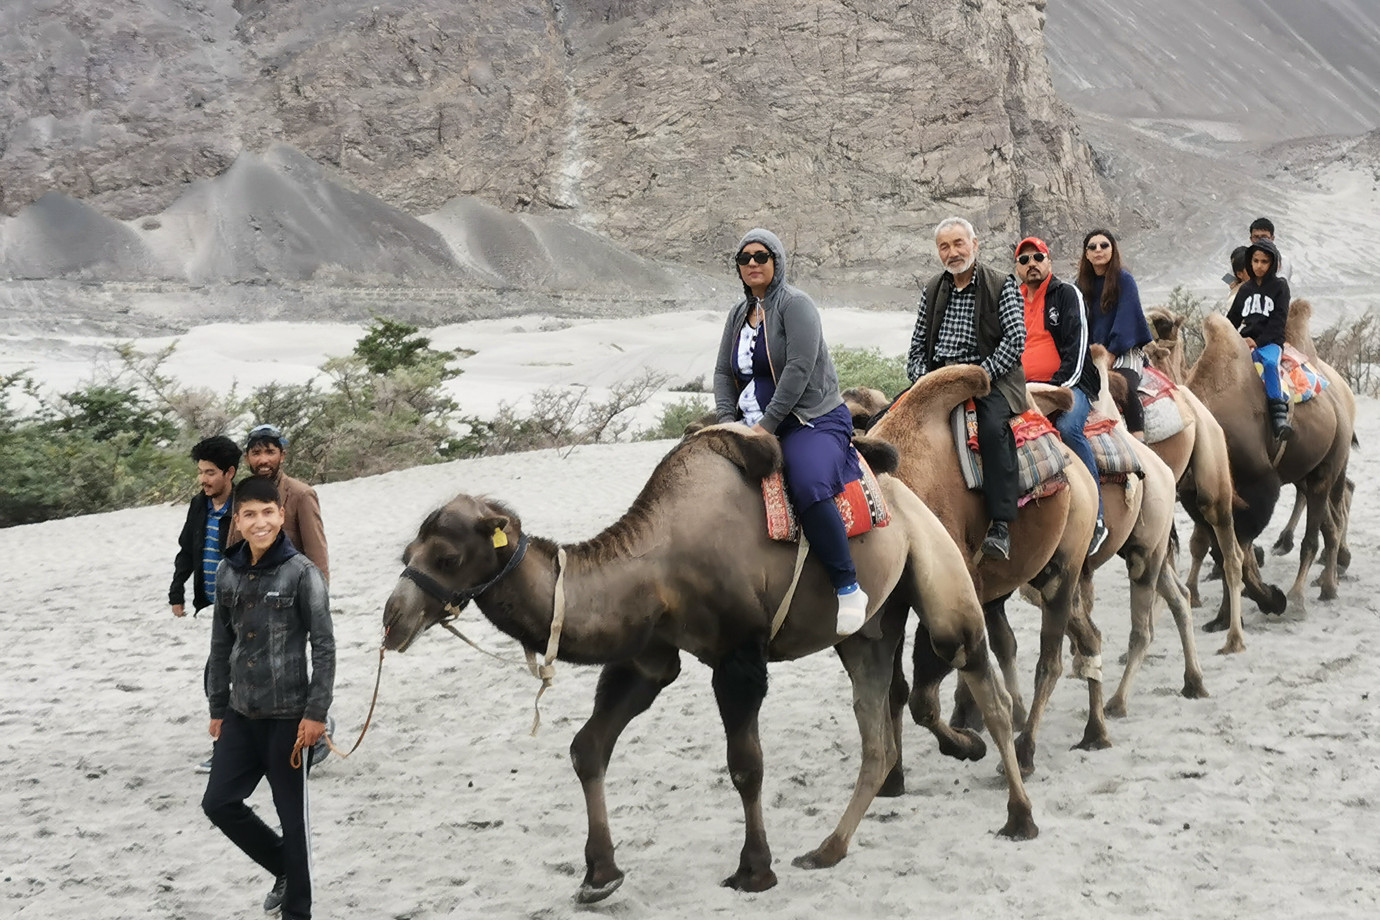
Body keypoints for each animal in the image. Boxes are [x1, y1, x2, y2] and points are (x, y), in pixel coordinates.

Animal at [378, 427, 1037, 904]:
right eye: (407, 551)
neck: (659, 561)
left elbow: (746, 766)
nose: (393, 619)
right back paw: (828, 849)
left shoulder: (739, 657)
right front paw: (599, 874)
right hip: (867, 629)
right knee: (877, 731)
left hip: (937, 566)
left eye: (447, 555)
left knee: (976, 673)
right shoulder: (647, 657)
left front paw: (754, 871)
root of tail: (901, 493)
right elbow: (588, 748)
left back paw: (1016, 810)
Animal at [866, 366, 1104, 777]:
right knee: (1088, 636)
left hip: (1063, 568)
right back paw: (1096, 732)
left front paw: (970, 746)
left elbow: (923, 698)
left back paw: (1025, 751)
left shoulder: (954, 592)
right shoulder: (894, 605)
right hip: (1040, 574)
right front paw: (894, 779)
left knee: (1050, 661)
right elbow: (897, 690)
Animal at [1026, 347, 1208, 717]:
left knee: (1144, 626)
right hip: (1147, 544)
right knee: (1178, 595)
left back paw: (1117, 701)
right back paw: (1193, 681)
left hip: (1144, 547)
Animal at [1148, 311, 1352, 617]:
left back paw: (1304, 593)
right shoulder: (1198, 497)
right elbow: (1220, 552)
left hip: (1330, 463)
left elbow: (1236, 552)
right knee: (1329, 519)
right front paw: (1225, 614)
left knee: (1320, 528)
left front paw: (1271, 599)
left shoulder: (1261, 487)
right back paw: (1325, 578)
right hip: (1305, 469)